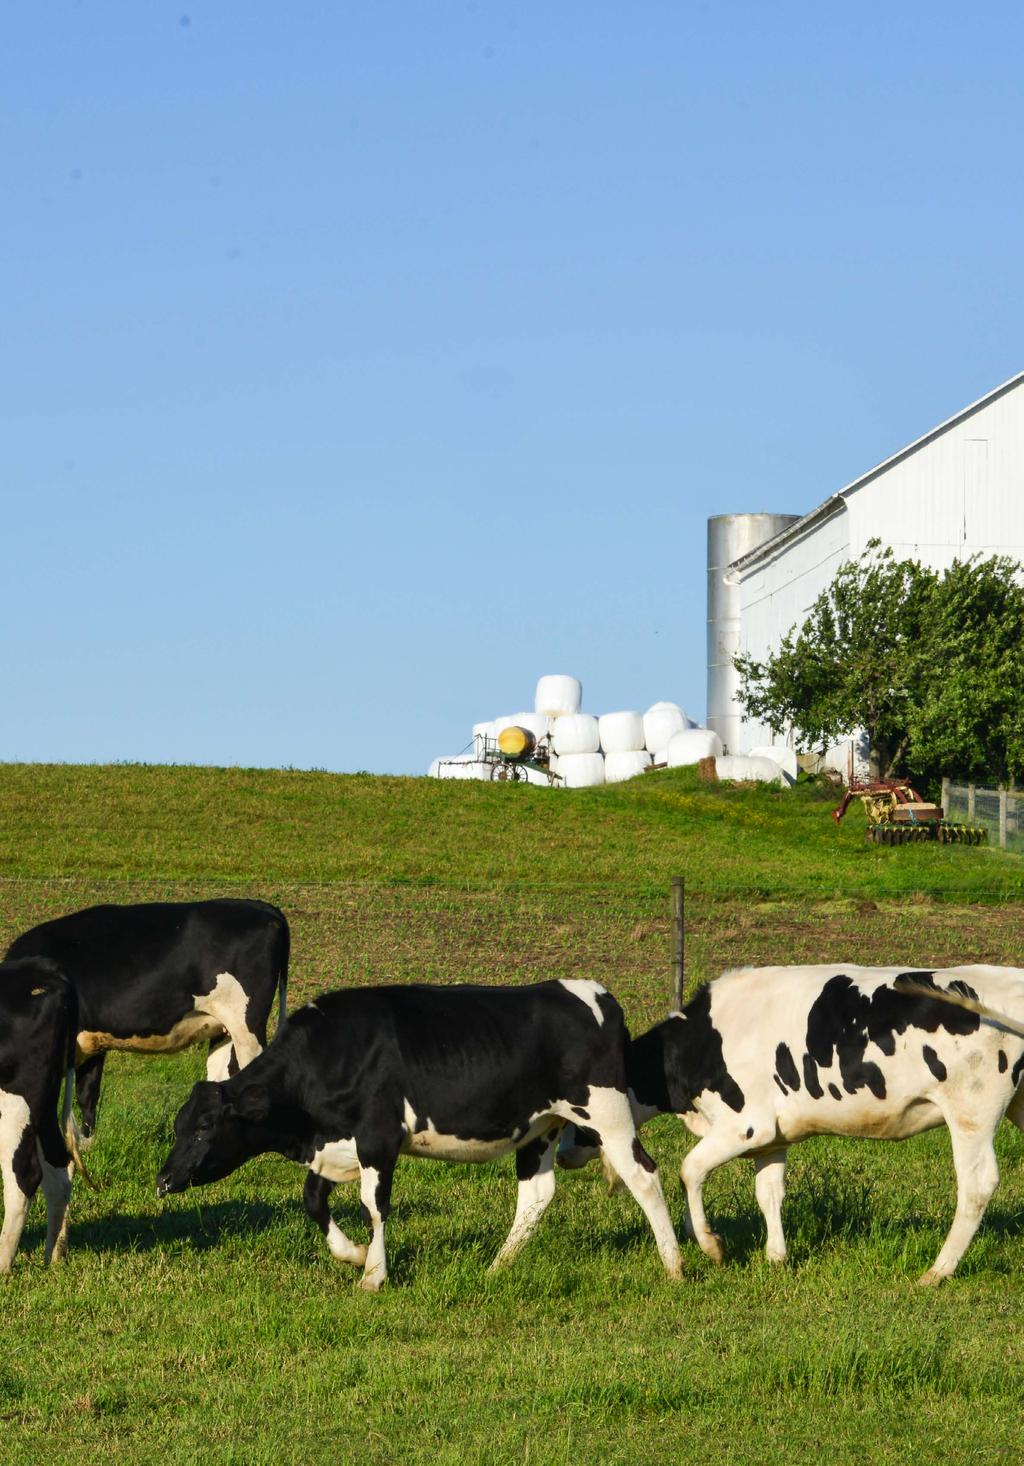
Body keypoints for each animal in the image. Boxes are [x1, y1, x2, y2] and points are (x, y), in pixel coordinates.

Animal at [0, 955, 78, 1266]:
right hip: (44, 1107)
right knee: (58, 1169)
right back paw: (54, 1255)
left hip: (16, 1102)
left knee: (24, 1176)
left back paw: (3, 1265)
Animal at [6, 897, 287, 1137]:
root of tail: (262, 907)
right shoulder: (89, 1043)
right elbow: (87, 1095)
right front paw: (88, 1144)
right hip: (224, 1028)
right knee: (220, 1077)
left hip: (247, 1025)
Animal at [155, 979, 680, 1290]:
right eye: (179, 1124)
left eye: (204, 1127)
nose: (163, 1180)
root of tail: (592, 992)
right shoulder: (335, 1144)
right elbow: (312, 1200)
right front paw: (352, 1254)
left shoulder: (378, 1137)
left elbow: (374, 1206)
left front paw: (374, 1274)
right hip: (540, 1127)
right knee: (536, 1194)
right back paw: (497, 1266)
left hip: (608, 1114)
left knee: (645, 1177)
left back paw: (674, 1264)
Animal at [557, 967, 1021, 1290]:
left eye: (575, 1121)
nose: (561, 1156)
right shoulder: (772, 1138)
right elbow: (769, 1193)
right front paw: (776, 1257)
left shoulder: (746, 1126)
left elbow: (689, 1171)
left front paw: (710, 1244)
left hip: (971, 1111)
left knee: (977, 1185)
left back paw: (938, 1271)